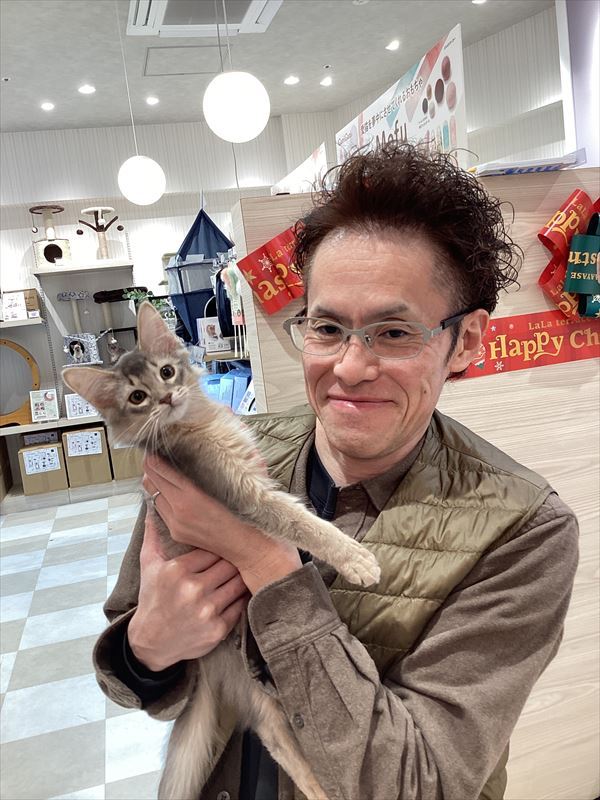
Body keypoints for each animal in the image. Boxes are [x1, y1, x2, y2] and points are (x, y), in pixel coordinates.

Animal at [62, 302, 381, 800]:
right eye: (137, 397)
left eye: (167, 372)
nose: (166, 398)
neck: (198, 422)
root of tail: (210, 669)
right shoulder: (243, 494)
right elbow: (300, 521)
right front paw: (355, 558)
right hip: (258, 694)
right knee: (282, 742)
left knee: (279, 742)